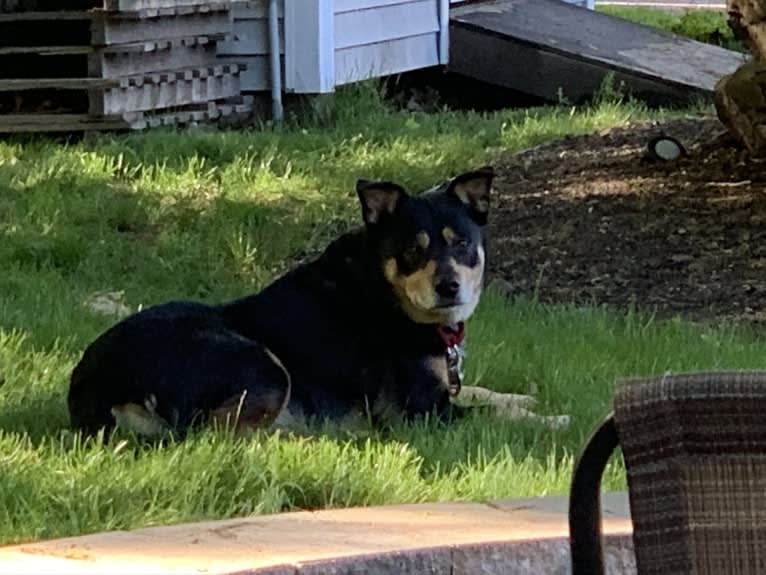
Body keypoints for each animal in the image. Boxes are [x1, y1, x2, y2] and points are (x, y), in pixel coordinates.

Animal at [67, 168, 568, 440]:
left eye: (461, 242)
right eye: (412, 249)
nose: (448, 287)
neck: (386, 292)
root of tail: (94, 382)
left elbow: (487, 392)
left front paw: (527, 396)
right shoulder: (420, 411)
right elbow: (497, 414)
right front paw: (554, 419)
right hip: (262, 366)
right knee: (216, 433)